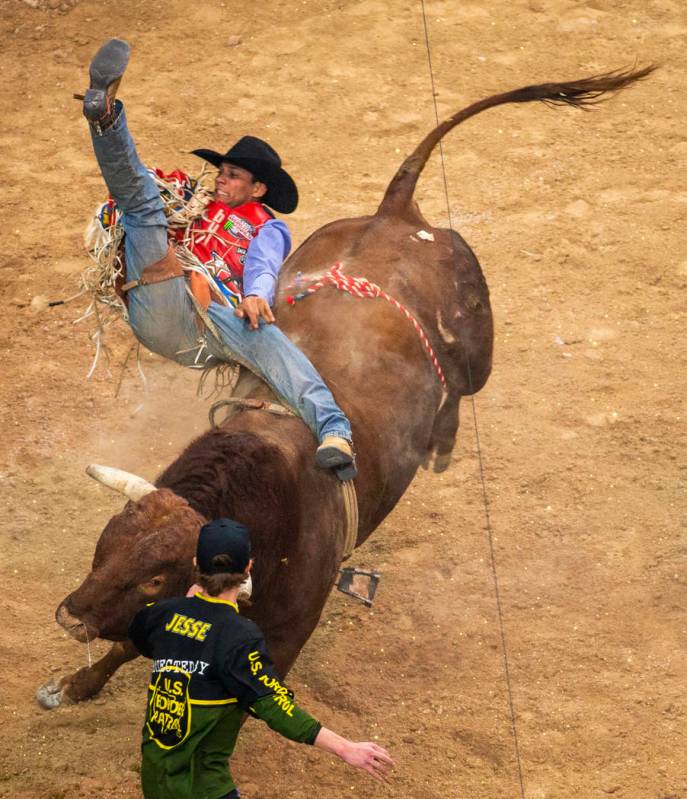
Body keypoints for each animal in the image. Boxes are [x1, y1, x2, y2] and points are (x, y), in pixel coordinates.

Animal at [39, 65, 656, 708]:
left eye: (156, 575)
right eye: (105, 542)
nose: (69, 616)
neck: (266, 513)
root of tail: (397, 217)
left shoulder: (285, 635)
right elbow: (126, 644)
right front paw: (76, 683)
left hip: (477, 344)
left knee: (461, 389)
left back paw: (440, 445)